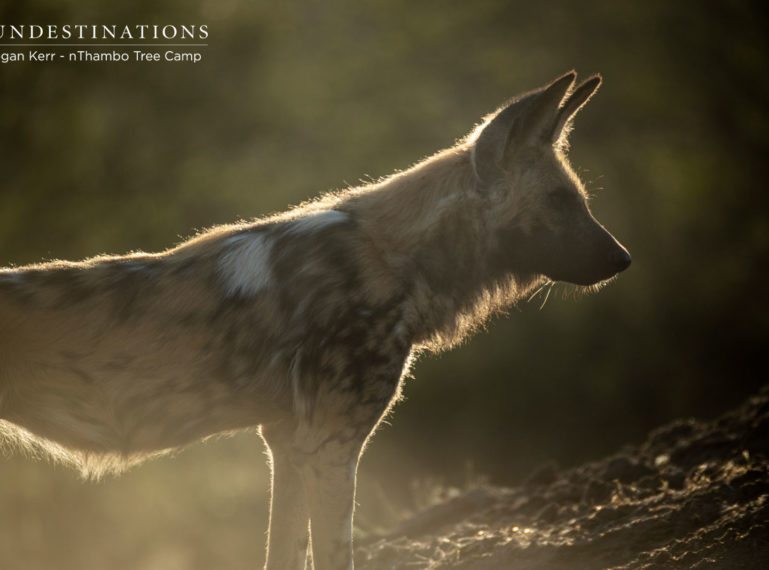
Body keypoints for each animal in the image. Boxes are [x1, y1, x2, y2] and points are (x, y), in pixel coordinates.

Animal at [1, 72, 632, 568]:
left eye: (579, 200)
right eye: (559, 202)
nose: (624, 260)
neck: (396, 255)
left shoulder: (286, 446)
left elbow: (284, 552)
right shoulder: (331, 447)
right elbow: (336, 553)